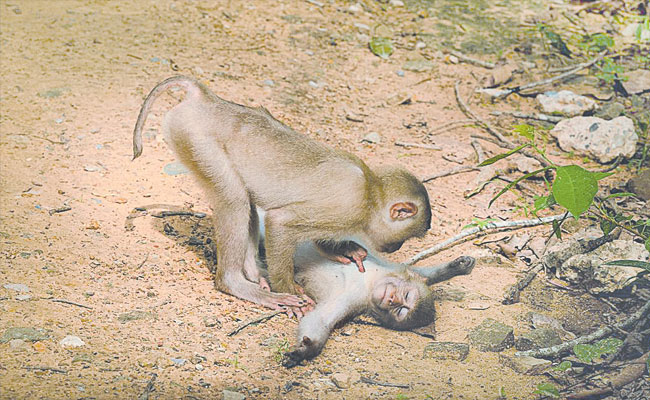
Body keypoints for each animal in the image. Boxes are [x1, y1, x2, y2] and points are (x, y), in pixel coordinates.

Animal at [132, 76, 432, 315]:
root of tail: (206, 99)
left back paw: (254, 274)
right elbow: (280, 222)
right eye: (405, 238)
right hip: (195, 138)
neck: (370, 192)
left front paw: (340, 249)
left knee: (246, 201)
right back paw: (238, 283)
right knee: (235, 199)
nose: (396, 248)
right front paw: (289, 289)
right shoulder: (348, 207)